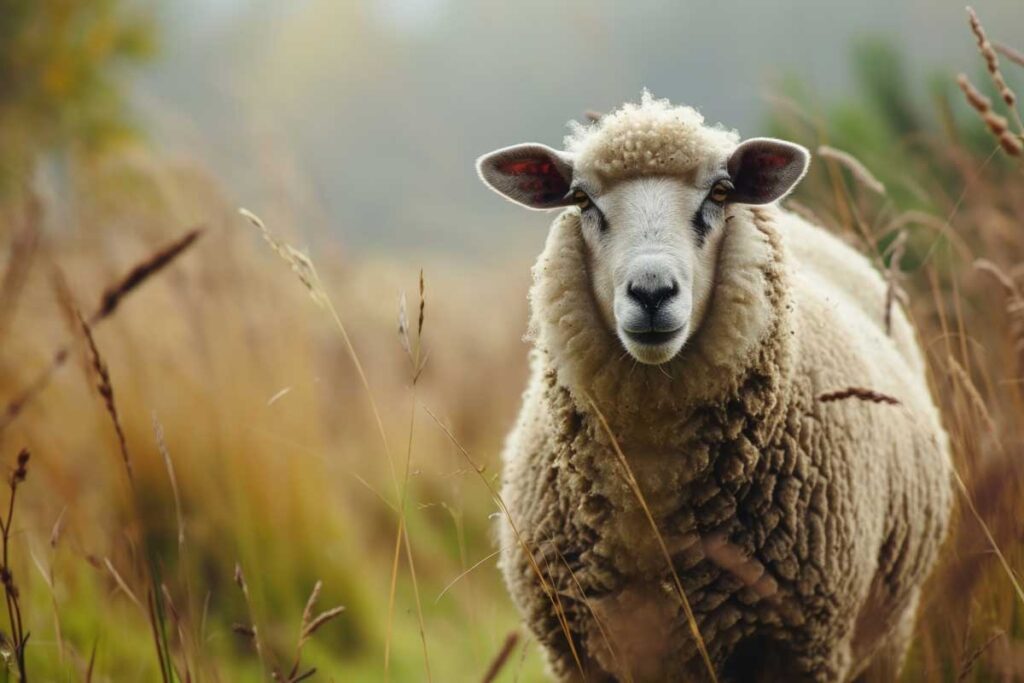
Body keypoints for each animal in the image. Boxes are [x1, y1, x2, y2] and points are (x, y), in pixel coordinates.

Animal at [475, 92, 954, 683]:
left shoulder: (800, 649)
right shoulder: (579, 653)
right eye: (582, 199)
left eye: (720, 193)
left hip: (887, 633)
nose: (651, 292)